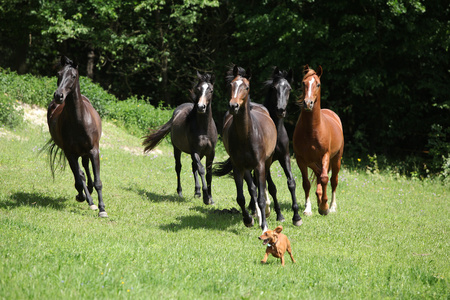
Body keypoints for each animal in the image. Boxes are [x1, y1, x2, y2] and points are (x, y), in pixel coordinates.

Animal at [46, 55, 107, 217]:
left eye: (73, 76)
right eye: (58, 74)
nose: (59, 96)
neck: (79, 120)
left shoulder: (94, 150)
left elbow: (98, 181)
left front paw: (102, 209)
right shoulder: (70, 153)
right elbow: (79, 178)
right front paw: (84, 197)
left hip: (85, 152)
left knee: (85, 167)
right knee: (80, 173)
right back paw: (87, 198)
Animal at [142, 71, 216, 205]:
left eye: (211, 90)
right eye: (198, 89)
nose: (201, 107)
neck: (204, 129)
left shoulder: (210, 152)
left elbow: (209, 174)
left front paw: (210, 198)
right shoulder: (195, 151)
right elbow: (201, 170)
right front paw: (206, 197)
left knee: (193, 166)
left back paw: (197, 192)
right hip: (177, 149)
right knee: (179, 168)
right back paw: (180, 192)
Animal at [213, 64, 276, 231]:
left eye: (246, 87)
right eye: (230, 85)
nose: (233, 105)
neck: (246, 135)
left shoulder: (260, 165)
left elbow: (261, 196)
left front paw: (264, 226)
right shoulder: (238, 166)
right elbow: (241, 197)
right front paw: (248, 220)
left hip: (267, 162)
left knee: (263, 186)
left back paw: (266, 212)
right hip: (247, 167)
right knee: (252, 188)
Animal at [292, 65, 344, 216]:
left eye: (318, 84)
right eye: (303, 83)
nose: (307, 103)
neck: (312, 130)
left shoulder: (325, 155)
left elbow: (325, 178)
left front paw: (325, 207)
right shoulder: (301, 159)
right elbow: (306, 183)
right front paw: (308, 208)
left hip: (336, 159)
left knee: (333, 181)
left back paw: (331, 206)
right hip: (314, 162)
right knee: (318, 176)